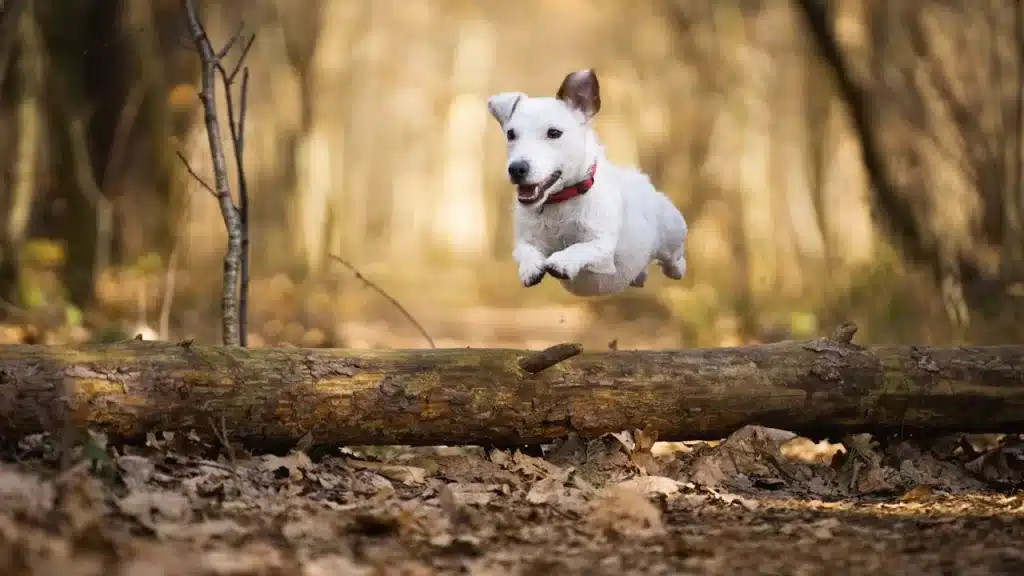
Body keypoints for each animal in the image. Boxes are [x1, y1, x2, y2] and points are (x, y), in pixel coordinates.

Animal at [487, 68, 688, 295]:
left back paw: (676, 268)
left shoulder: (602, 248)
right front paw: (530, 268)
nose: (516, 169)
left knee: (674, 258)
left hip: (672, 233)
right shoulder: (525, 240)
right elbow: (526, 251)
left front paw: (561, 262)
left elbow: (580, 247)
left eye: (554, 133)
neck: (560, 201)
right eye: (511, 134)